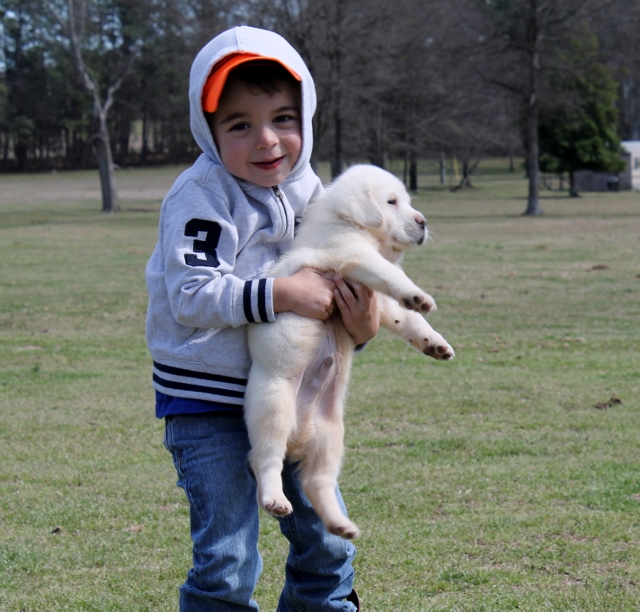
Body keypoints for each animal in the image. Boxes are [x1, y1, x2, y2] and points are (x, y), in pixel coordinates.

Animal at [246, 165, 456, 536]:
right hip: (273, 406)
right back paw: (275, 499)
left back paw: (340, 524)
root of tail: (299, 433)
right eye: (392, 202)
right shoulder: (352, 256)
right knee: (265, 460)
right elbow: (391, 276)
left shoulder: (377, 300)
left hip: (330, 436)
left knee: (316, 482)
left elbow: (409, 319)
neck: (346, 223)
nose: (423, 222)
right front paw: (418, 295)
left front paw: (435, 343)